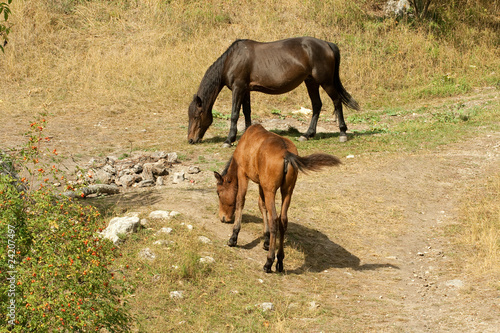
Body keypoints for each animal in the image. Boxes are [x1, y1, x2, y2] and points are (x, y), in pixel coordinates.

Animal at [188, 35, 360, 146]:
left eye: (196, 116)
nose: (190, 139)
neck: (232, 60)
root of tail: (326, 44)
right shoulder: (245, 90)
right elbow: (247, 112)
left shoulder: (238, 88)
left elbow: (235, 114)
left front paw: (229, 139)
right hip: (311, 82)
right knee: (317, 105)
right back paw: (307, 135)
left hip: (326, 82)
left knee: (336, 101)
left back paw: (342, 133)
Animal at [213, 123, 342, 272]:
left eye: (218, 192)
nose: (223, 217)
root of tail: (286, 153)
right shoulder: (261, 183)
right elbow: (262, 206)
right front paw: (266, 240)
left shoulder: (243, 174)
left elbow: (241, 201)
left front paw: (234, 237)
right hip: (287, 191)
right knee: (283, 220)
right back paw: (279, 260)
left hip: (271, 190)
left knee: (274, 219)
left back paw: (269, 262)